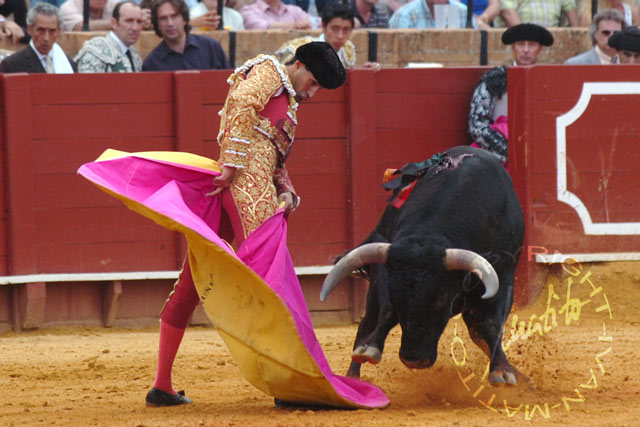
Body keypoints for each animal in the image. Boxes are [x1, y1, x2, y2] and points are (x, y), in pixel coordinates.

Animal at [320, 145, 524, 386]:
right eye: (398, 298)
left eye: (442, 301)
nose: (414, 360)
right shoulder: (387, 269)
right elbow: (388, 311)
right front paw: (369, 349)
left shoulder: (504, 271)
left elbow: (492, 324)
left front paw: (503, 370)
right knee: (367, 322)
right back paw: (354, 374)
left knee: (478, 331)